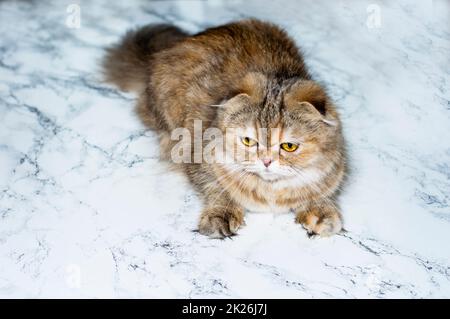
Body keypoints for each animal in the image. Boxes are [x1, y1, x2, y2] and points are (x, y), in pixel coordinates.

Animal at [103, 18, 348, 239]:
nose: (266, 161)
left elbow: (320, 194)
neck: (270, 193)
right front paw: (221, 215)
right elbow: (217, 190)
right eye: (249, 141)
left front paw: (322, 212)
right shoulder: (197, 158)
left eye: (288, 146)